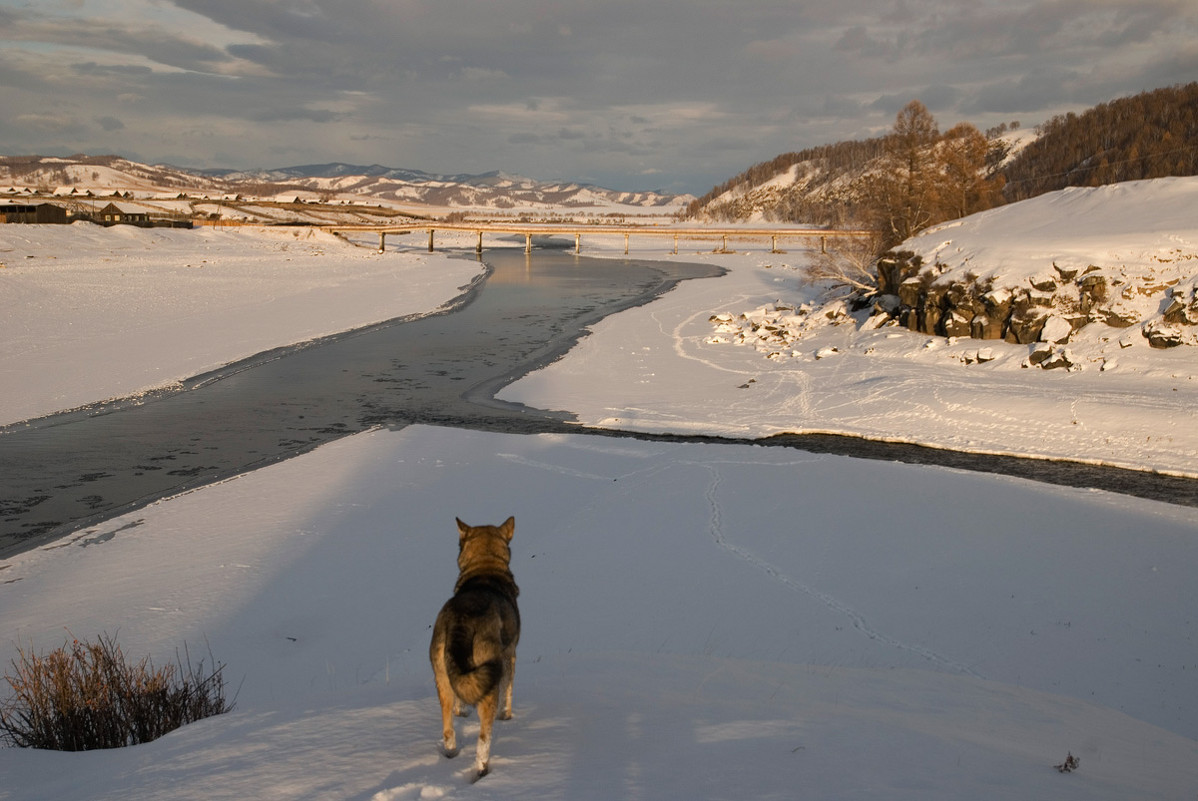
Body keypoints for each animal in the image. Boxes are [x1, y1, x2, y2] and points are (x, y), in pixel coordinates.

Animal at [433, 514, 522, 775]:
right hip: (490, 675)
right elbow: (508, 692)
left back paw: (451, 754)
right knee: (483, 739)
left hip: (442, 678)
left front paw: (462, 712)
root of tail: (462, 619)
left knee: (448, 729)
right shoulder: (511, 655)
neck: (485, 570)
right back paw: (482, 770)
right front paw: (507, 717)